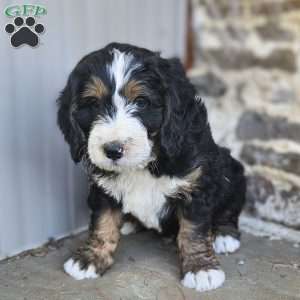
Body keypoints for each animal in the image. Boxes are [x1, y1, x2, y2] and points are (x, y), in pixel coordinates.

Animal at [56, 42, 246, 292]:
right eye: (93, 104)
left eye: (141, 102)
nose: (113, 150)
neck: (144, 163)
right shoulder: (102, 187)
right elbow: (102, 223)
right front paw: (89, 259)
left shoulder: (197, 183)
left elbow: (193, 230)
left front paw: (201, 269)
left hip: (230, 170)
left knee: (230, 208)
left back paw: (224, 235)